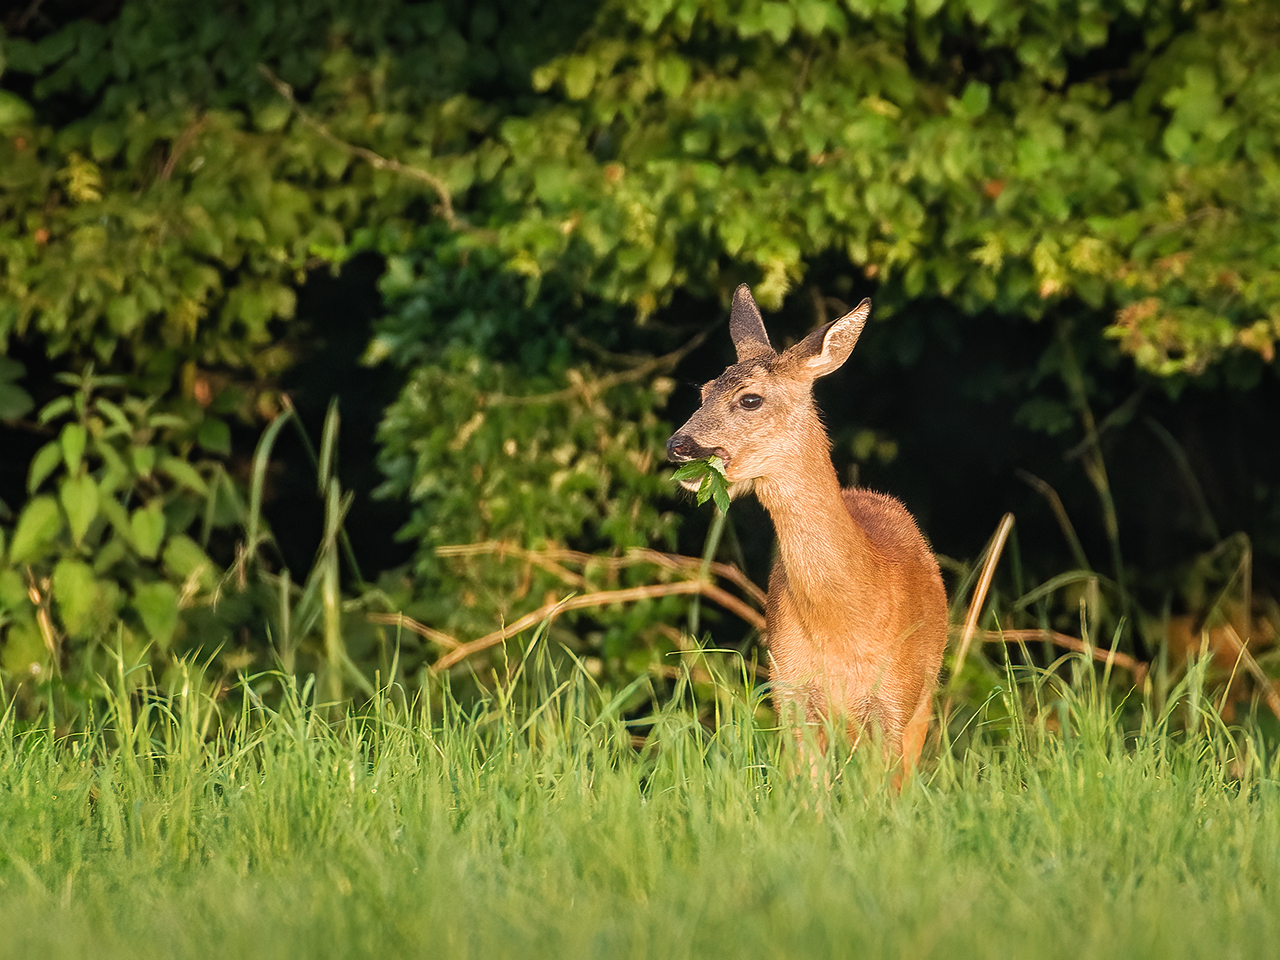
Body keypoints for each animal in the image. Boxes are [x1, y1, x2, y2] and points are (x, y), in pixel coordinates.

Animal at [670, 285, 952, 788]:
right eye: (703, 392)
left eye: (749, 399)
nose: (678, 445)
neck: (843, 623)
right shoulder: (790, 690)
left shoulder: (894, 700)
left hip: (924, 697)